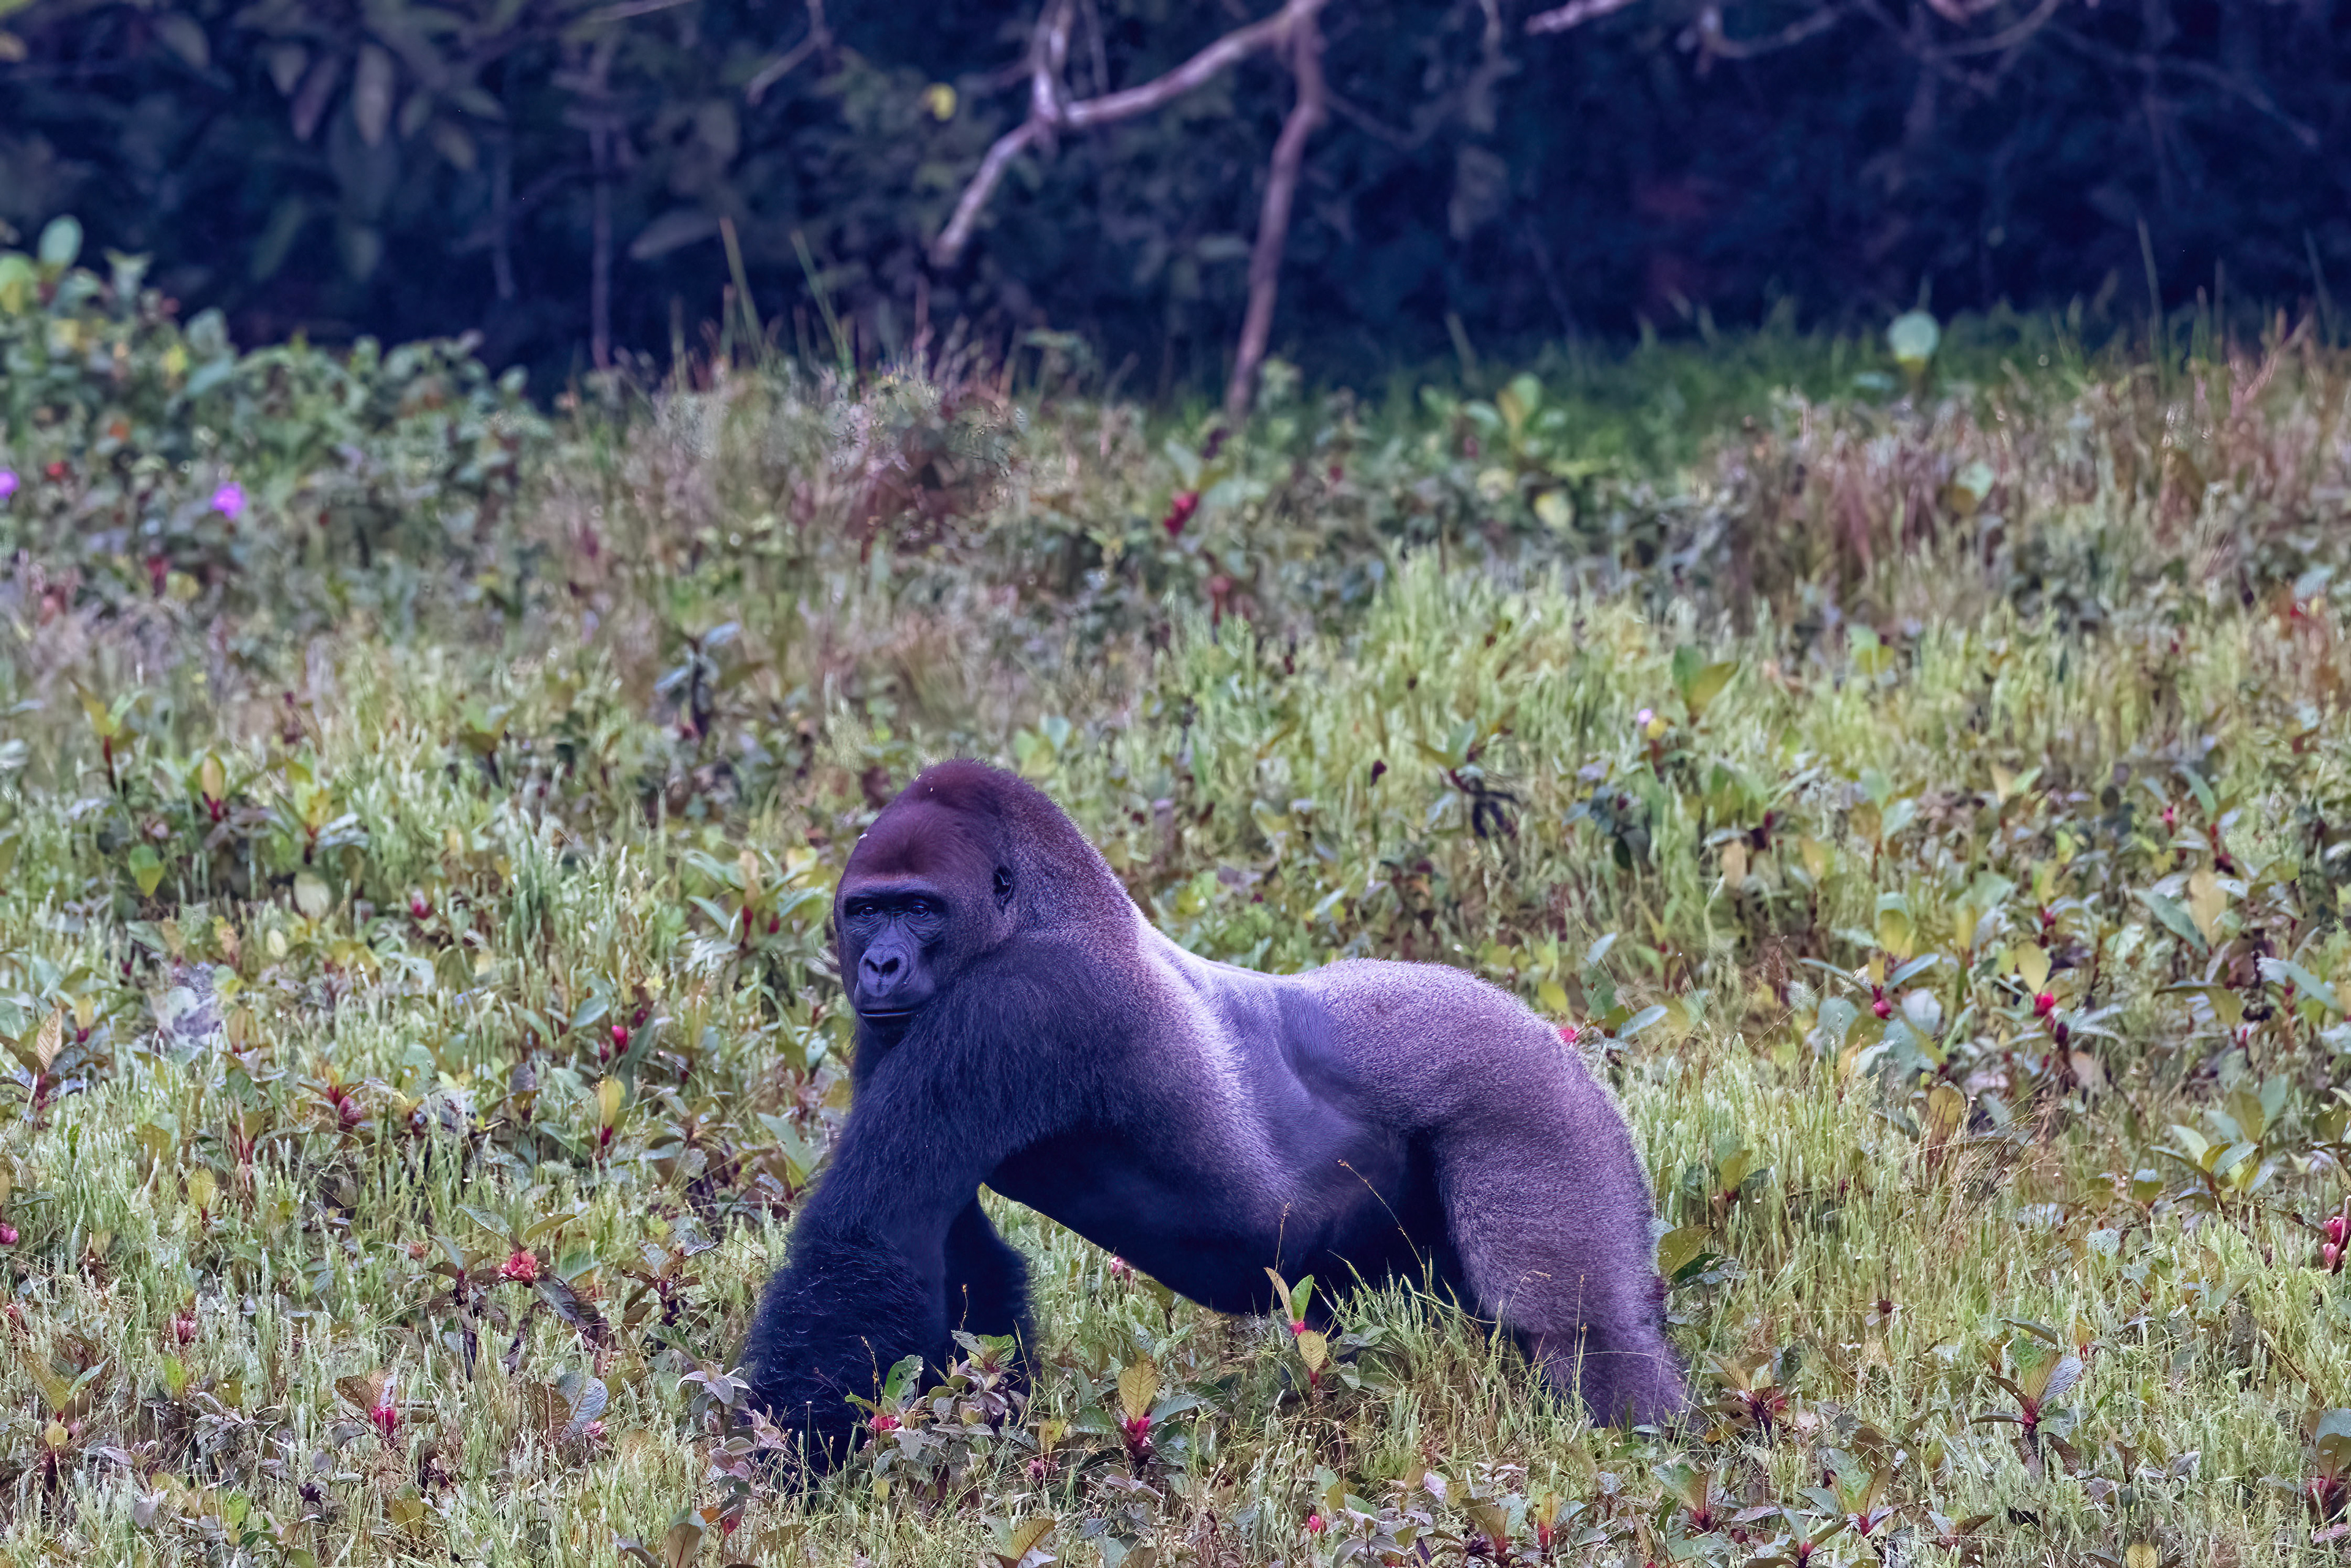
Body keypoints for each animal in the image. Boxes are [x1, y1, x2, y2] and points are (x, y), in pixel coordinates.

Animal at [742, 760, 1685, 1465]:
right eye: (866, 910)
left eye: (920, 907)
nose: (882, 964)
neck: (1041, 910)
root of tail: (1551, 1038)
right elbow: (949, 1248)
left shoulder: (1023, 1004)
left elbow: (870, 1235)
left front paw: (792, 1471)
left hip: (1533, 1106)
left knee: (1576, 1330)